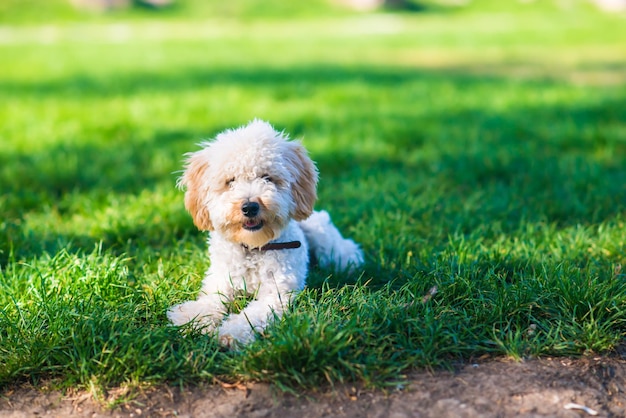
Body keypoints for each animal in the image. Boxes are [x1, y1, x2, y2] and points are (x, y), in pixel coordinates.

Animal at [166, 119, 364, 348]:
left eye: (267, 178)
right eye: (230, 181)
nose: (249, 206)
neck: (254, 247)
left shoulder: (276, 293)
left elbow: (252, 315)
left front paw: (232, 333)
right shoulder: (221, 281)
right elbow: (210, 300)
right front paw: (193, 317)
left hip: (326, 241)